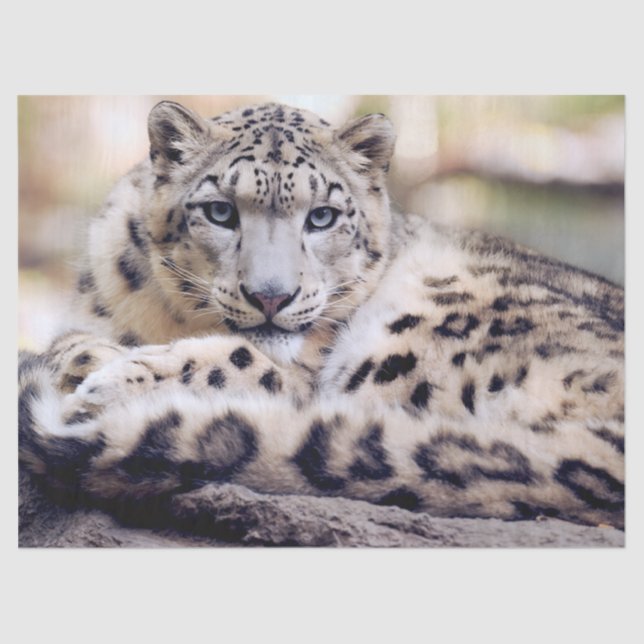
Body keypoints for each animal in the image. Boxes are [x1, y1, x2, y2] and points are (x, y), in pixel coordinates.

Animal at [18, 100, 625, 531]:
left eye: (323, 216)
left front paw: (109, 381)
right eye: (220, 211)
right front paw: (89, 361)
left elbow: (242, 363)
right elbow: (71, 341)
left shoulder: (303, 375)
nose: (271, 296)